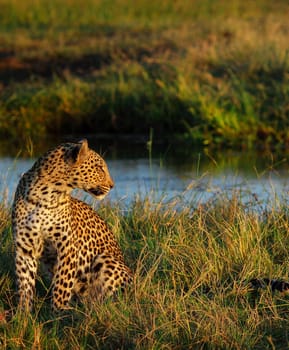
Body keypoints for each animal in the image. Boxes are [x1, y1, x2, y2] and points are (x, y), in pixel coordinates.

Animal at [11, 138, 132, 310]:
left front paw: (58, 312)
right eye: (99, 168)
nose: (112, 185)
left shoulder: (67, 247)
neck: (46, 196)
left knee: (113, 298)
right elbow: (24, 285)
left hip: (105, 259)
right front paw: (23, 313)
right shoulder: (24, 248)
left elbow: (62, 285)